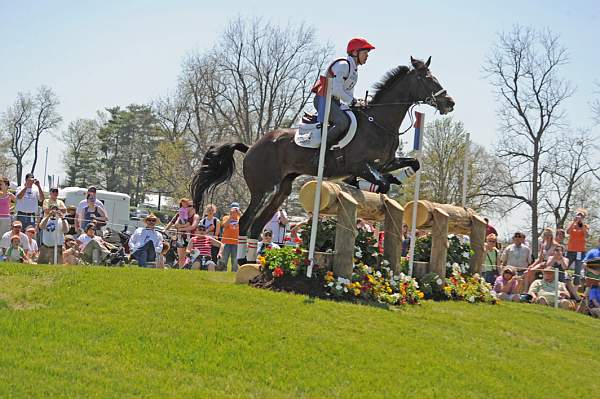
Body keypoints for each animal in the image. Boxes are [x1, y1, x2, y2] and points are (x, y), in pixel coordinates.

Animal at [192, 56, 454, 262]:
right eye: (428, 79)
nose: (450, 103)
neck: (379, 123)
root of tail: (251, 147)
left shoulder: (385, 162)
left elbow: (411, 164)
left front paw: (397, 178)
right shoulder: (359, 165)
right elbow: (380, 182)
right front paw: (368, 184)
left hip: (282, 191)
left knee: (256, 227)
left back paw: (251, 263)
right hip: (264, 188)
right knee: (246, 223)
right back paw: (240, 264)